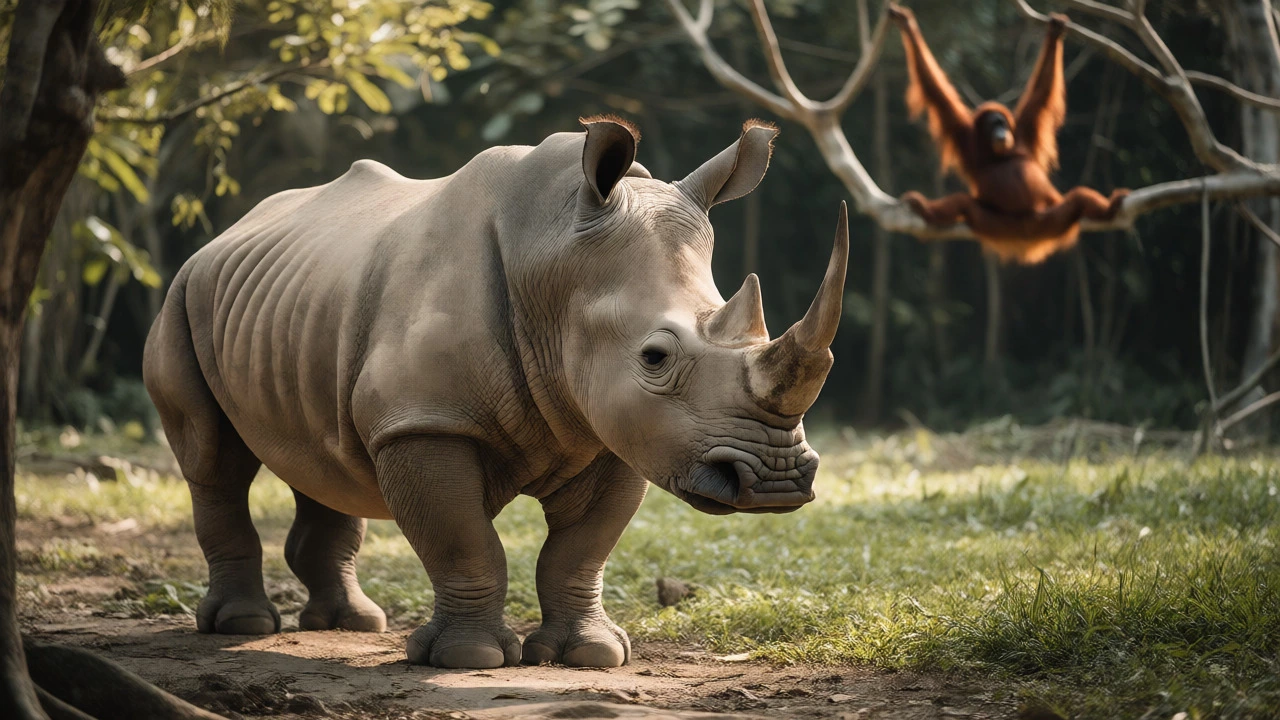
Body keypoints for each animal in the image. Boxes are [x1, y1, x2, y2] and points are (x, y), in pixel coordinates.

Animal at [142, 117, 848, 669]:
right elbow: (463, 539)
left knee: (322, 456)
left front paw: (592, 656)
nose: (776, 481)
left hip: (289, 304)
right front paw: (469, 659)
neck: (555, 262)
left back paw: (351, 623)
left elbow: (581, 550)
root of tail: (227, 232)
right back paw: (242, 626)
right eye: (655, 357)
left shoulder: (617, 429)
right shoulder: (425, 420)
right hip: (181, 294)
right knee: (213, 461)